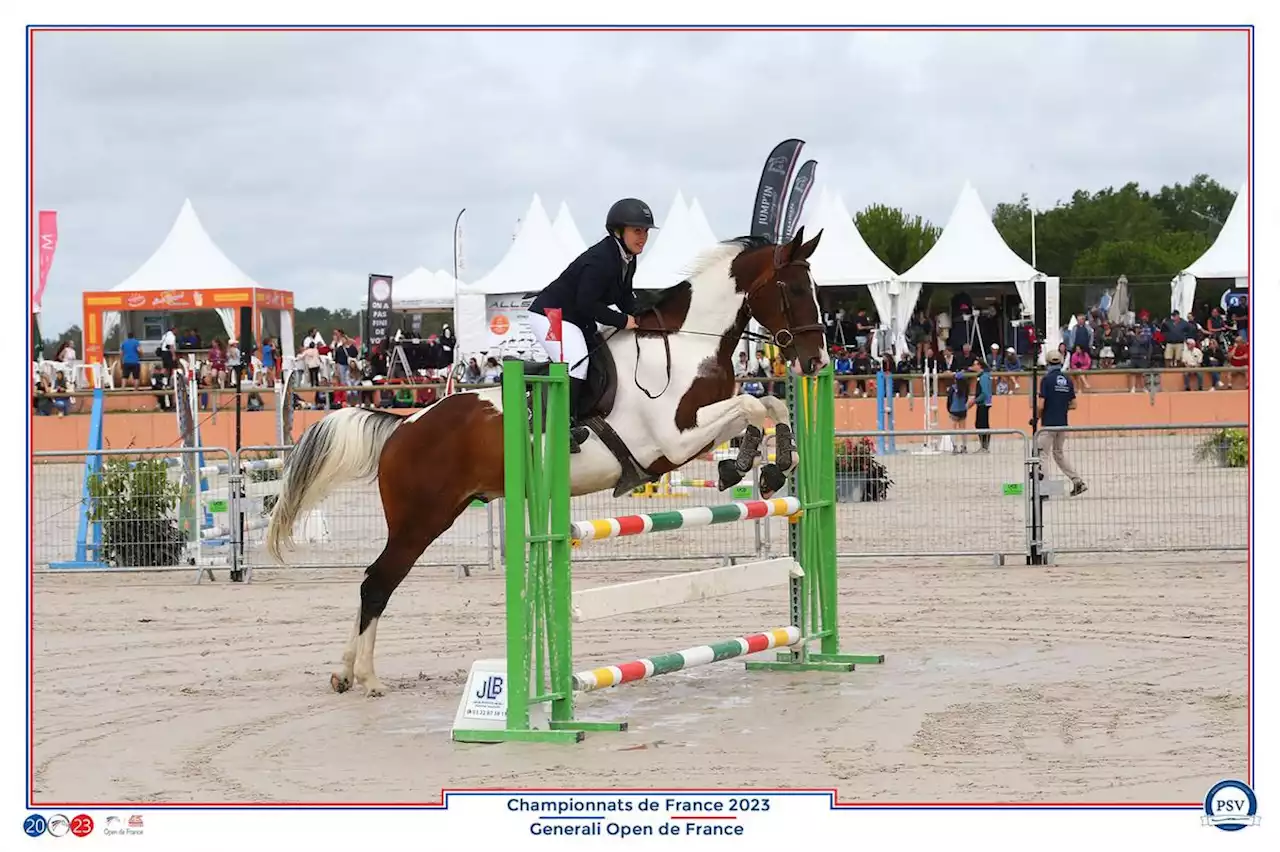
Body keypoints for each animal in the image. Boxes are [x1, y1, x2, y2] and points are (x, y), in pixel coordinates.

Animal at [267, 227, 829, 695]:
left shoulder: (692, 432)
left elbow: (768, 406)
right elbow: (752, 406)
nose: (817, 361)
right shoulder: (672, 439)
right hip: (420, 519)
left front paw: (763, 465)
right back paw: (366, 677)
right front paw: (755, 466)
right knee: (376, 583)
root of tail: (403, 426)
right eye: (794, 289)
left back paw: (344, 673)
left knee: (375, 583)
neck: (686, 343)